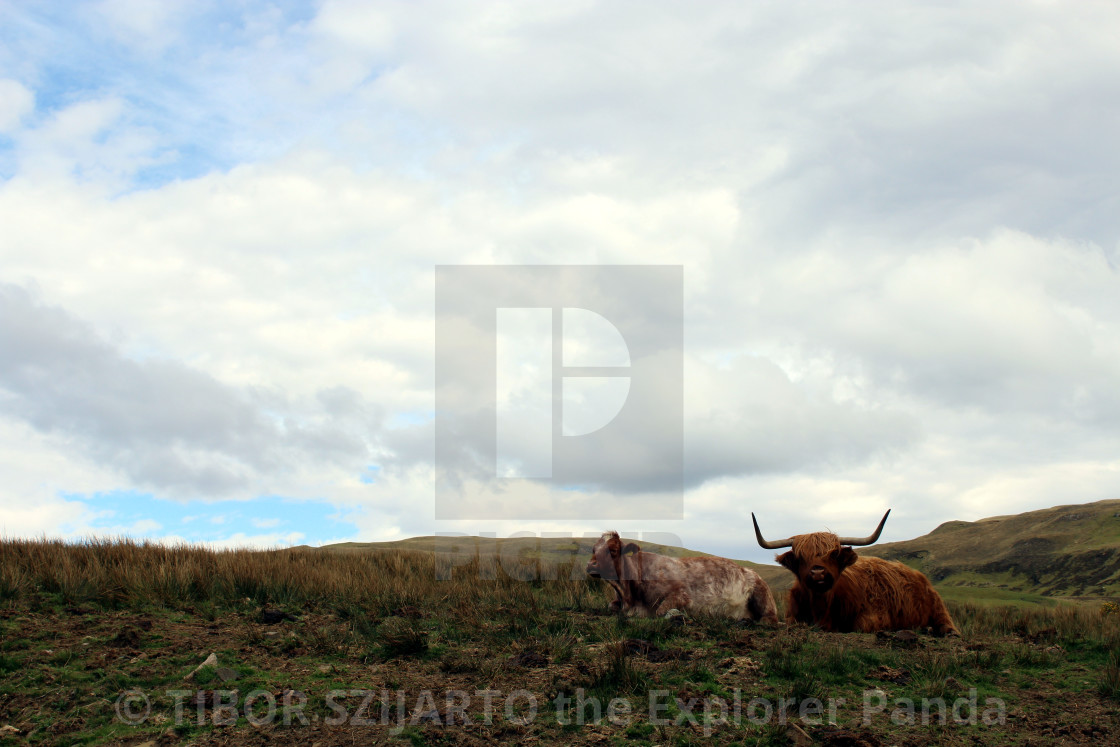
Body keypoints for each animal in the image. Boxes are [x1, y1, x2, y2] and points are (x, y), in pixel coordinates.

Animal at [586, 530, 779, 627]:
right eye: (594, 549)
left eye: (613, 550)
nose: (591, 565)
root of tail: (749, 571)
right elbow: (610, 606)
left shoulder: (683, 596)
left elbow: (661, 611)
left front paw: (677, 615)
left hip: (764, 598)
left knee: (770, 618)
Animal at [748, 515, 958, 636]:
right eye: (800, 557)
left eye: (833, 554)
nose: (817, 572)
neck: (821, 607)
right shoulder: (792, 616)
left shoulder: (875, 617)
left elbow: (860, 626)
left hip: (939, 608)